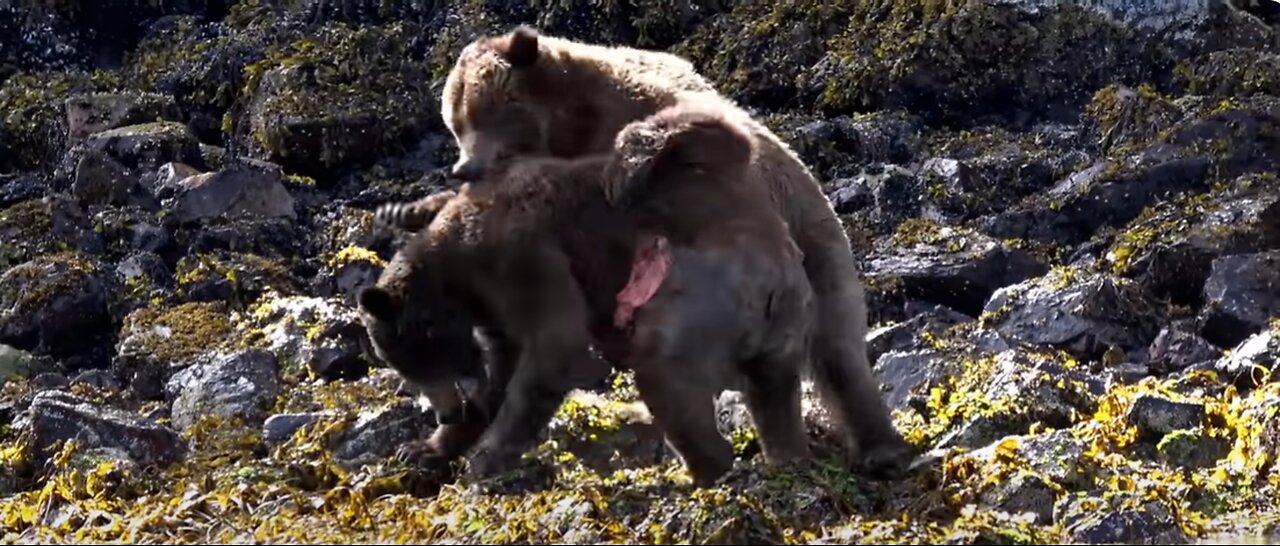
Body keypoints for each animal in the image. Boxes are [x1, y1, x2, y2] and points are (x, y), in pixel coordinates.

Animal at [359, 103, 817, 486]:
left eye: (416, 361)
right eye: (405, 369)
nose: (444, 412)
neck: (461, 273)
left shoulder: (523, 257)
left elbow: (553, 347)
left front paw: (483, 459)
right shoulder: (496, 314)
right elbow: (502, 373)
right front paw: (425, 448)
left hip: (702, 294)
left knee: (663, 371)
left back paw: (706, 470)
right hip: (780, 326)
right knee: (774, 398)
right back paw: (787, 457)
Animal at [418, 24, 912, 477]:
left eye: (487, 109)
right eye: (454, 121)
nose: (465, 168)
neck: (570, 126)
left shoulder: (649, 118)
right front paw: (439, 441)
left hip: (816, 249)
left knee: (839, 352)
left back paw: (879, 448)